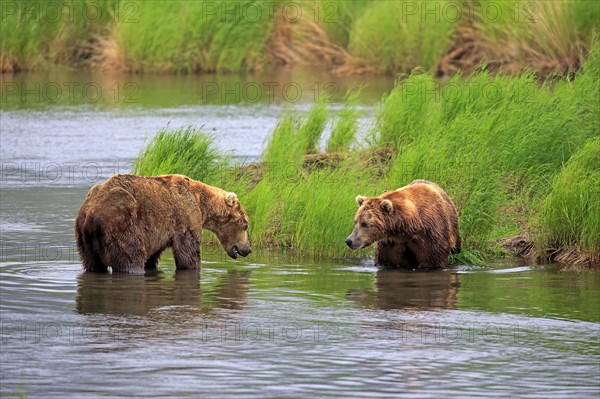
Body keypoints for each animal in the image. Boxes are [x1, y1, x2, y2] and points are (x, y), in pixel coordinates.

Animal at [75, 175, 251, 276]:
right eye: (246, 224)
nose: (248, 249)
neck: (202, 203)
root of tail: (90, 214)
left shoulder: (155, 232)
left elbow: (153, 255)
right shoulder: (185, 216)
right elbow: (188, 252)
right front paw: (193, 266)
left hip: (84, 241)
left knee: (93, 264)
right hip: (121, 223)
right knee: (130, 256)